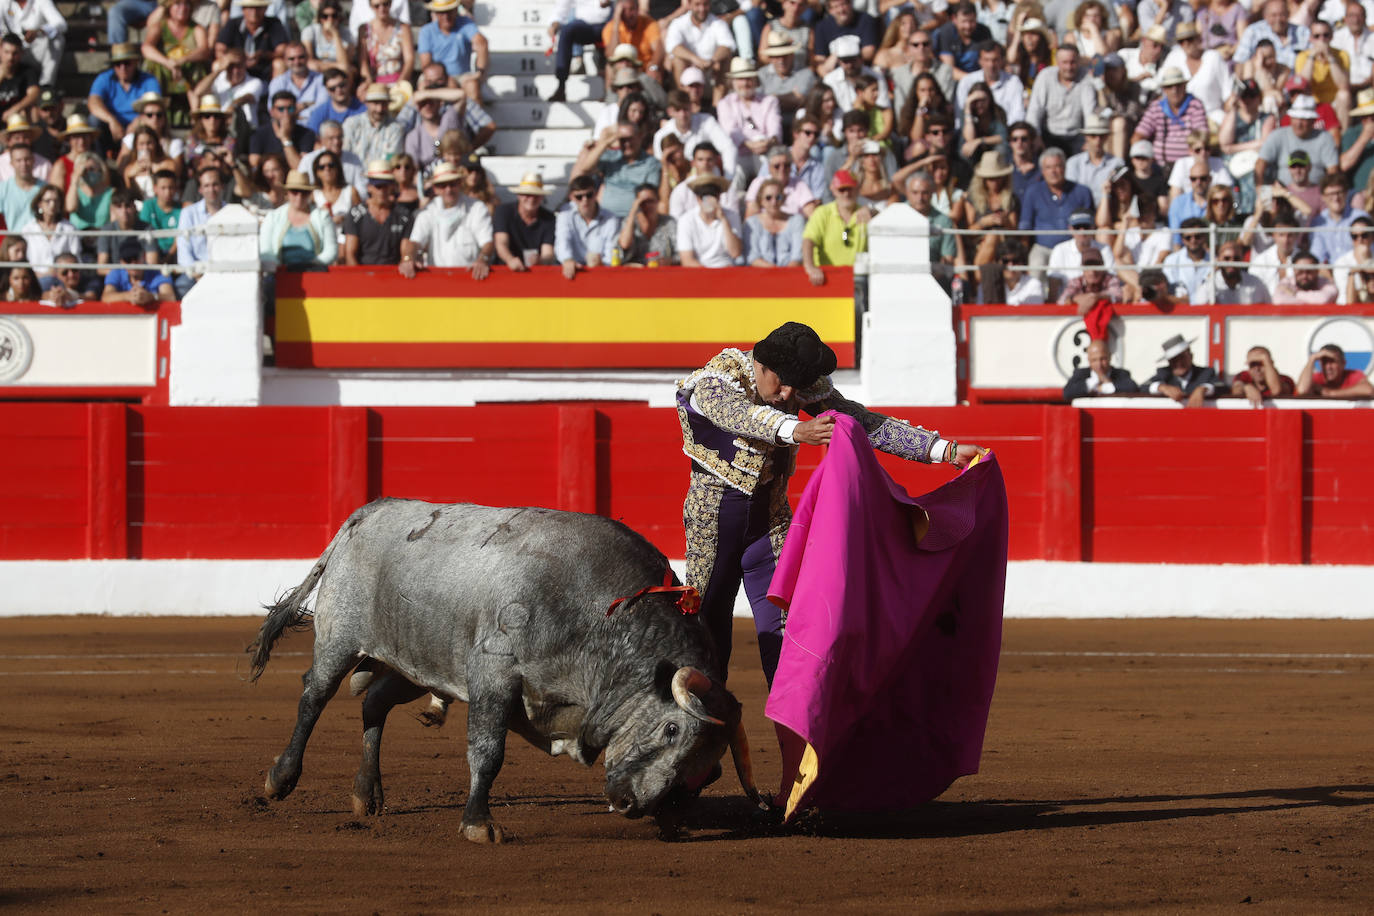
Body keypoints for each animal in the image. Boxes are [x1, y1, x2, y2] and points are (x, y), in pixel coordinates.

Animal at [248, 502, 763, 845]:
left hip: (414, 665)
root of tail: (364, 514)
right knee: (314, 696)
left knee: (374, 703)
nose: (628, 804)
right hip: (338, 639)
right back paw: (280, 779)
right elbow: (487, 751)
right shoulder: (494, 675)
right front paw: (479, 823)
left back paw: (366, 795)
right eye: (672, 728)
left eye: (709, 766)